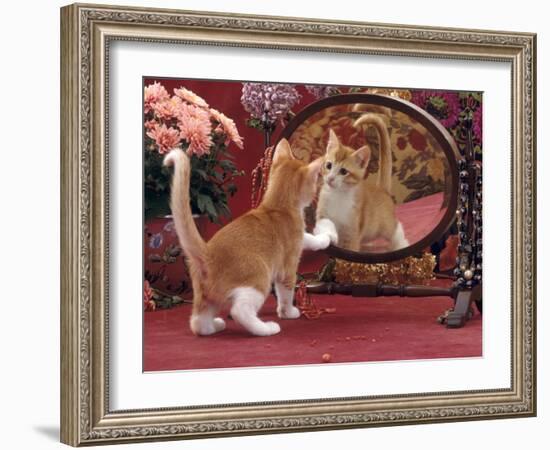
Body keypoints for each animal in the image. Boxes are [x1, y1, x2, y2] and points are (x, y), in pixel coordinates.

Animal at [166, 139, 326, 336]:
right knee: (239, 310)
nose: (316, 192)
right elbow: (286, 293)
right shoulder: (287, 267)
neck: (277, 206)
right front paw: (288, 312)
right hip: (259, 278)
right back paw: (266, 328)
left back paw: (214, 326)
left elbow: (308, 238)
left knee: (197, 322)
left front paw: (325, 238)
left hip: (206, 296)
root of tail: (207, 253)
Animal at [316, 114, 412, 251]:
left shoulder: (351, 232)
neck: (337, 195)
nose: (330, 178)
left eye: (343, 171)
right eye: (329, 165)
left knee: (396, 229)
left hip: (385, 225)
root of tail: (381, 189)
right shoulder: (322, 215)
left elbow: (350, 247)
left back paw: (401, 244)